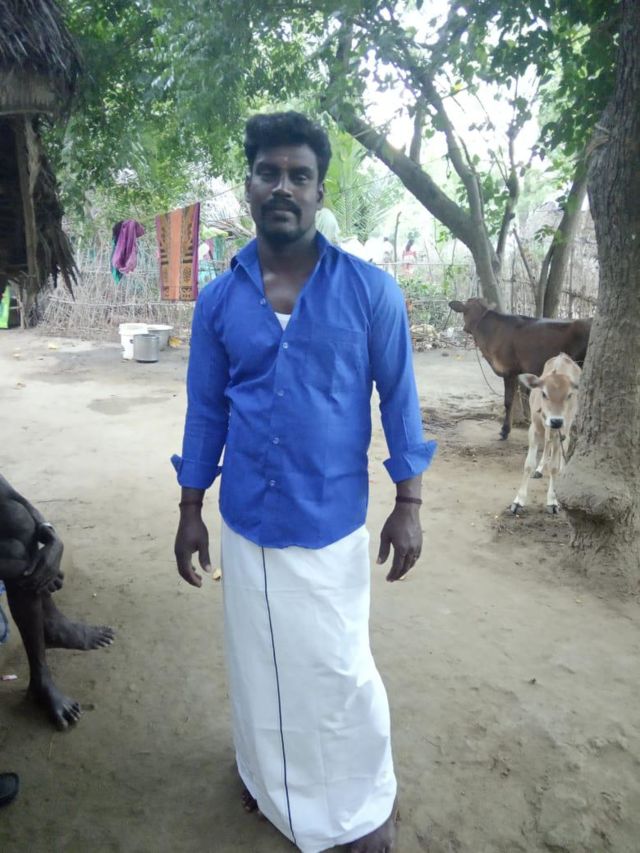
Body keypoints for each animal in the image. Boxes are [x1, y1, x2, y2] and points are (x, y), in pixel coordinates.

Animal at [509, 353, 581, 515]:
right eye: (544, 393)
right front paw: (518, 502)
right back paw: (539, 469)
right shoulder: (534, 429)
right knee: (548, 443)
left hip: (566, 428)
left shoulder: (562, 430)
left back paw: (561, 470)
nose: (556, 420)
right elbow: (528, 464)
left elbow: (554, 467)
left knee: (564, 446)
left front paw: (552, 501)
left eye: (569, 395)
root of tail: (563, 356)